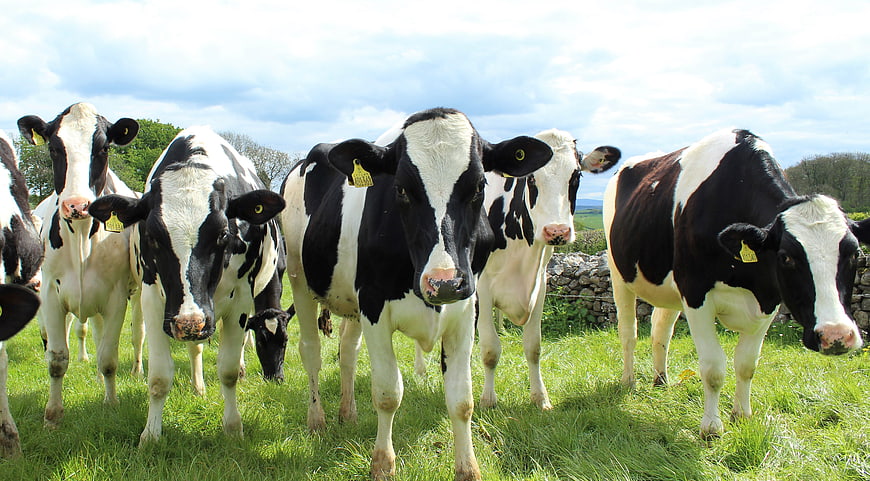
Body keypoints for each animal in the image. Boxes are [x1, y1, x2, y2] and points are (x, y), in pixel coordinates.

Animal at [18, 103, 140, 428]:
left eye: (103, 148)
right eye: (54, 148)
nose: (77, 205)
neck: (83, 238)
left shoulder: (116, 296)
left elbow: (109, 357)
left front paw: (111, 403)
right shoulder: (50, 292)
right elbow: (57, 358)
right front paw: (52, 415)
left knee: (135, 334)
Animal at [89, 126, 285, 445]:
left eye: (222, 233)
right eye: (153, 236)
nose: (188, 321)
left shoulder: (241, 301)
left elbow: (228, 370)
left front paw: (233, 428)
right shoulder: (156, 302)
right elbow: (159, 376)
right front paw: (150, 434)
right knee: (195, 348)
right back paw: (197, 385)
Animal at [281, 107, 553, 481]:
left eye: (479, 187)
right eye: (401, 189)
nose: (444, 282)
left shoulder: (466, 308)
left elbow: (461, 399)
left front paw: (468, 468)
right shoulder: (374, 306)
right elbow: (387, 392)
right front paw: (382, 463)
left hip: (349, 301)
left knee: (347, 352)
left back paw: (348, 413)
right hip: (299, 280)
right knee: (311, 351)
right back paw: (317, 420)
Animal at [475, 129, 620, 410]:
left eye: (576, 176)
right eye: (531, 177)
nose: (557, 231)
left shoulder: (540, 285)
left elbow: (534, 346)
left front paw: (540, 398)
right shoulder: (483, 286)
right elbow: (490, 349)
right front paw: (487, 400)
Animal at [603, 128, 869, 439]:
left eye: (855, 253)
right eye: (786, 257)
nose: (836, 335)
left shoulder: (769, 299)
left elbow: (746, 364)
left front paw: (742, 415)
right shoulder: (695, 292)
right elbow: (713, 367)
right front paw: (711, 428)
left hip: (668, 285)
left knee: (660, 329)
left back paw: (660, 380)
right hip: (619, 274)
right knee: (629, 333)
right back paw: (629, 381)